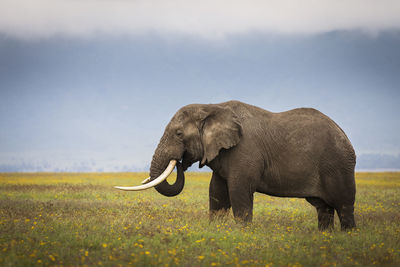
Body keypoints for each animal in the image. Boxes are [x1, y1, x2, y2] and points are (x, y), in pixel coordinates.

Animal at [115, 101, 356, 231]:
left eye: (179, 134)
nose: (181, 162)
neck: (211, 106)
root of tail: (344, 133)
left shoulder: (245, 151)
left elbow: (238, 190)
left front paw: (242, 232)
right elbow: (217, 193)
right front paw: (216, 230)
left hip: (337, 165)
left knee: (343, 205)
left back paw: (347, 237)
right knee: (323, 208)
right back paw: (325, 237)